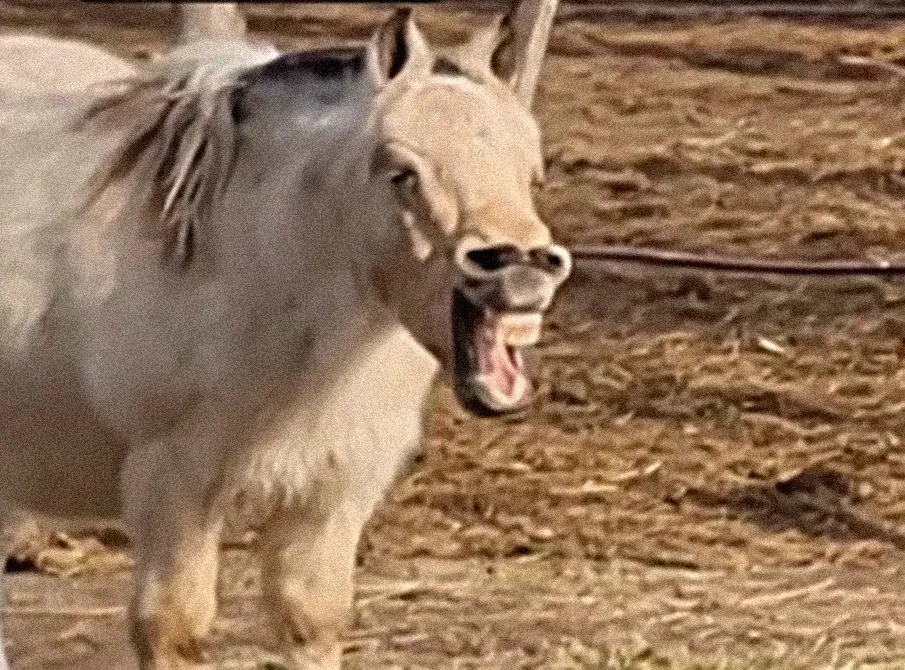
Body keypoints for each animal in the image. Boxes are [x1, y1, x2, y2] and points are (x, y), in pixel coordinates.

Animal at [0, 7, 571, 669]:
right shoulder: (175, 486)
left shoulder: (335, 491)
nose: (521, 266)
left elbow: (310, 620)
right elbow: (173, 627)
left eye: (530, 174)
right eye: (402, 172)